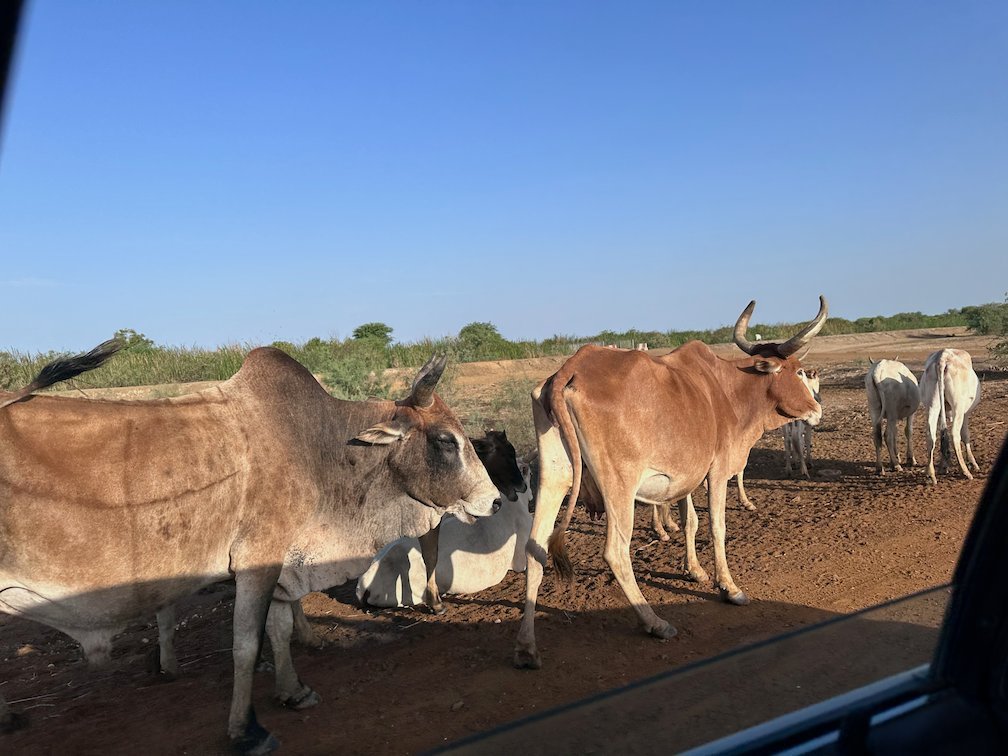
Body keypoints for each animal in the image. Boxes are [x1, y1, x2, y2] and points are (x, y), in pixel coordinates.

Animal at [0, 343, 500, 753]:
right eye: (444, 440)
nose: (494, 500)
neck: (317, 446)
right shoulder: (258, 561)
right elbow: (245, 644)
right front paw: (244, 730)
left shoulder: (282, 563)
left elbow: (279, 630)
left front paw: (293, 691)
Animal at [514, 296, 826, 670]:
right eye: (798, 371)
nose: (817, 410)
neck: (728, 390)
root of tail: (569, 369)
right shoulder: (717, 471)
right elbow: (716, 527)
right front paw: (729, 587)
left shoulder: (687, 476)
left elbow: (691, 522)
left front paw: (695, 571)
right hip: (619, 485)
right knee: (615, 552)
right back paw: (654, 622)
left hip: (554, 479)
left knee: (535, 548)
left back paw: (527, 647)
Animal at [919, 348, 981, 485]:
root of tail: (942, 357)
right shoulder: (965, 413)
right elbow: (965, 435)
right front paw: (973, 463)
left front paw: (944, 466)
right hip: (958, 406)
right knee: (954, 434)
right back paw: (965, 471)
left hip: (933, 406)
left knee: (931, 435)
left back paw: (931, 474)